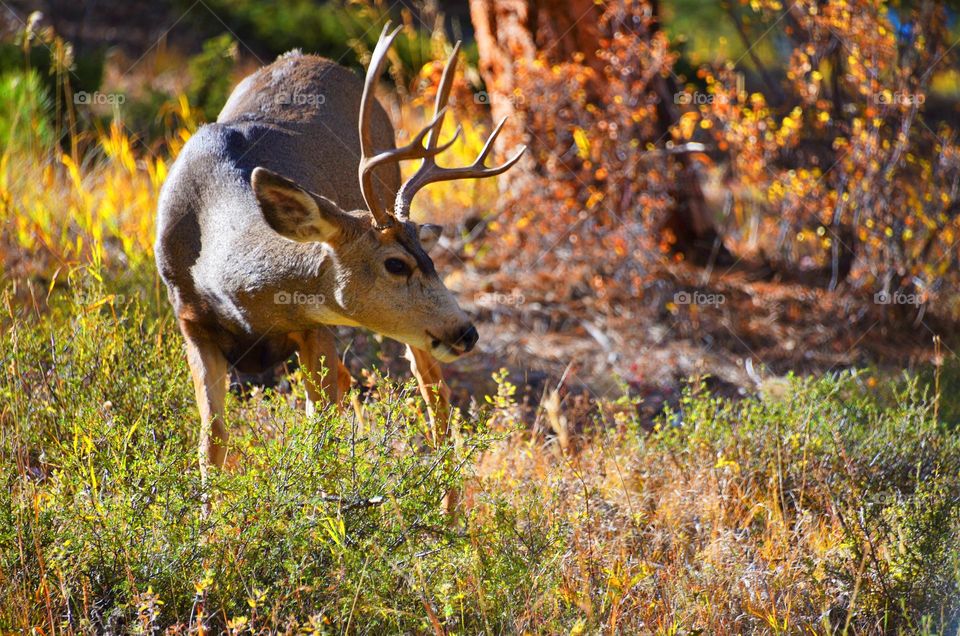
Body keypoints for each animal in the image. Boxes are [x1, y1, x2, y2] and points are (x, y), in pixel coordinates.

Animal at [155, 23, 525, 482]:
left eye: (430, 260)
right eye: (395, 264)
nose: (467, 332)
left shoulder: (313, 327)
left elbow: (320, 436)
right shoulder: (191, 322)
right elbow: (212, 442)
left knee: (432, 390)